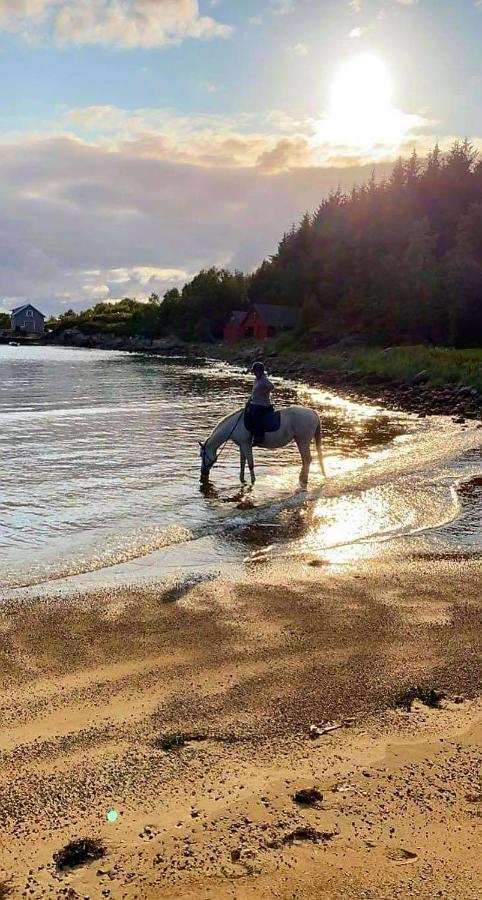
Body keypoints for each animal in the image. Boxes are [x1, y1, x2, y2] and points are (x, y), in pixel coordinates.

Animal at [198, 406, 326, 486]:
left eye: (201, 455)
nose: (203, 473)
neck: (234, 425)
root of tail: (313, 412)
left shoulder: (246, 445)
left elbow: (250, 464)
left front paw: (253, 481)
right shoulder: (242, 446)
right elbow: (242, 463)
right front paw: (242, 479)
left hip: (303, 440)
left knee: (307, 459)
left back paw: (303, 480)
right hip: (300, 441)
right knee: (305, 460)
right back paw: (301, 478)